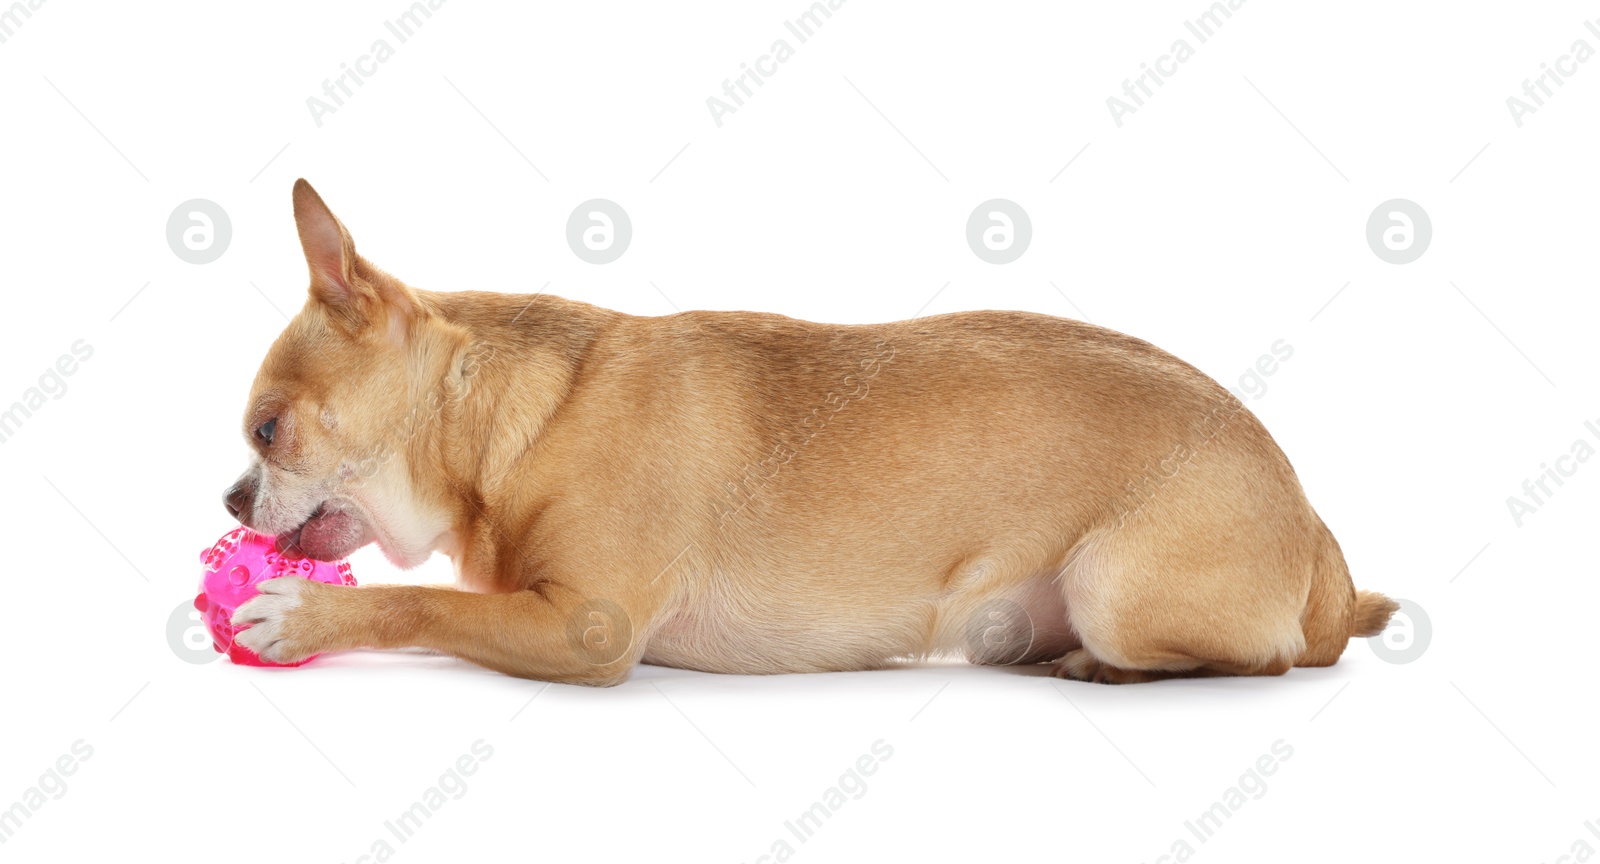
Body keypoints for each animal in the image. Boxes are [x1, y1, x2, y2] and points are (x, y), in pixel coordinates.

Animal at [228, 179, 1401, 684]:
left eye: (268, 432)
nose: (230, 500)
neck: (518, 425)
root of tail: (1322, 544)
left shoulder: (584, 632)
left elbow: (429, 602)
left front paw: (308, 617)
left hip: (1118, 583)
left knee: (1259, 662)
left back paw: (1103, 669)